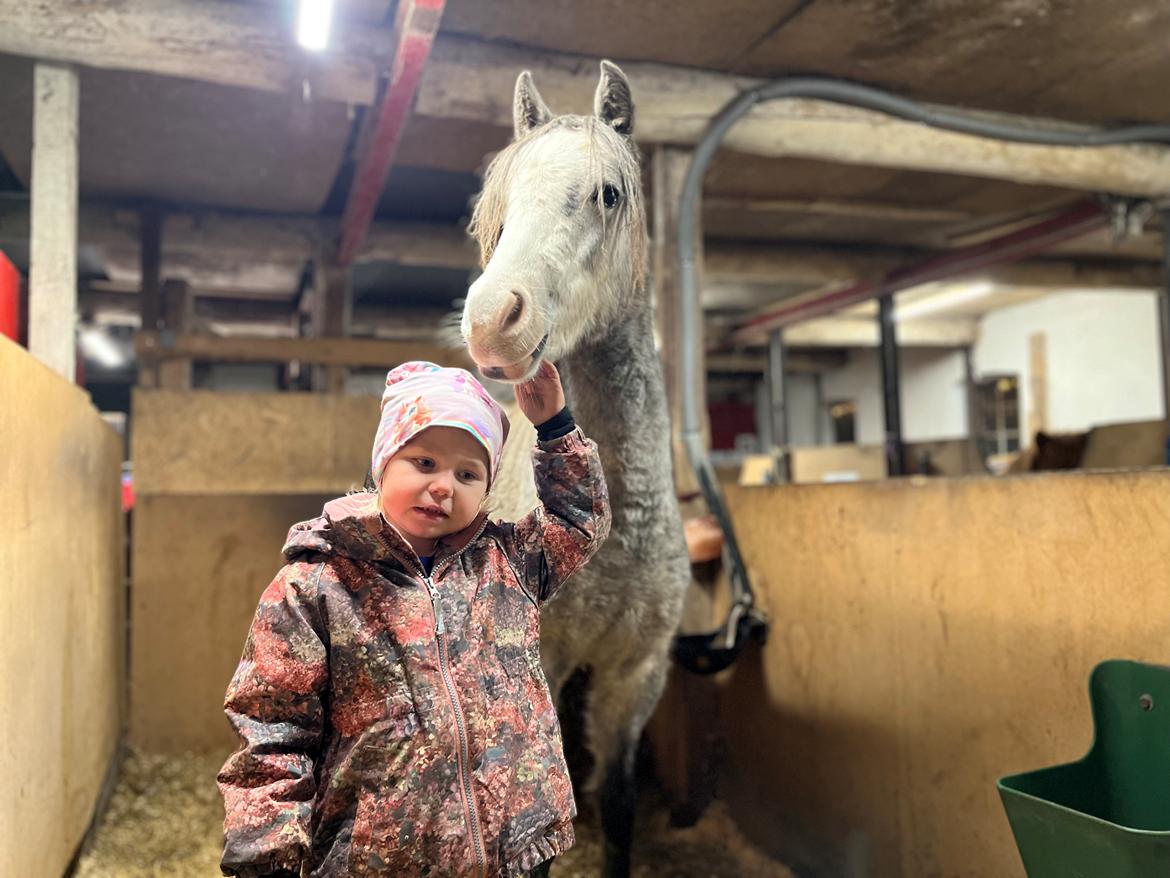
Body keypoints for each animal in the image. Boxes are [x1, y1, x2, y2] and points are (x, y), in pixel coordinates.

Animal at [460, 62, 691, 877]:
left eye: (609, 193)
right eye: (501, 209)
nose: (492, 318)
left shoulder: (637, 673)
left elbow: (618, 802)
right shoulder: (546, 664)